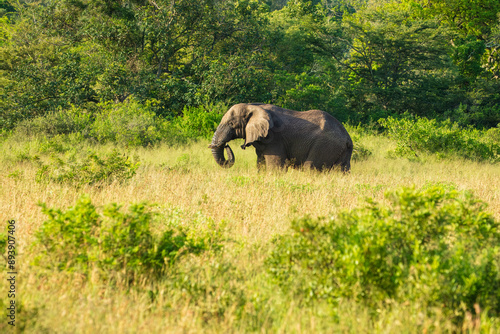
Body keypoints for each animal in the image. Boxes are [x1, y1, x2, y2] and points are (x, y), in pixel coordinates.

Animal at [209, 102, 354, 171]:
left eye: (231, 123)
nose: (226, 145)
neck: (253, 106)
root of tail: (347, 138)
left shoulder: (275, 138)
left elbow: (275, 167)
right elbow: (261, 163)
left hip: (325, 146)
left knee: (310, 168)